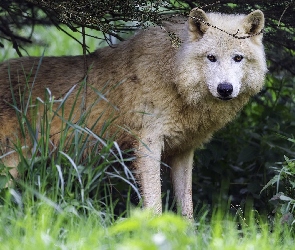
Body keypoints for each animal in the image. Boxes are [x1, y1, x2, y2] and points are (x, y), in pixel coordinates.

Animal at [0, 7, 268, 219]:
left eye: (238, 58)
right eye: (211, 57)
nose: (225, 88)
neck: (173, 75)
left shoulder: (182, 152)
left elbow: (187, 207)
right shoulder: (147, 146)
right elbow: (155, 204)